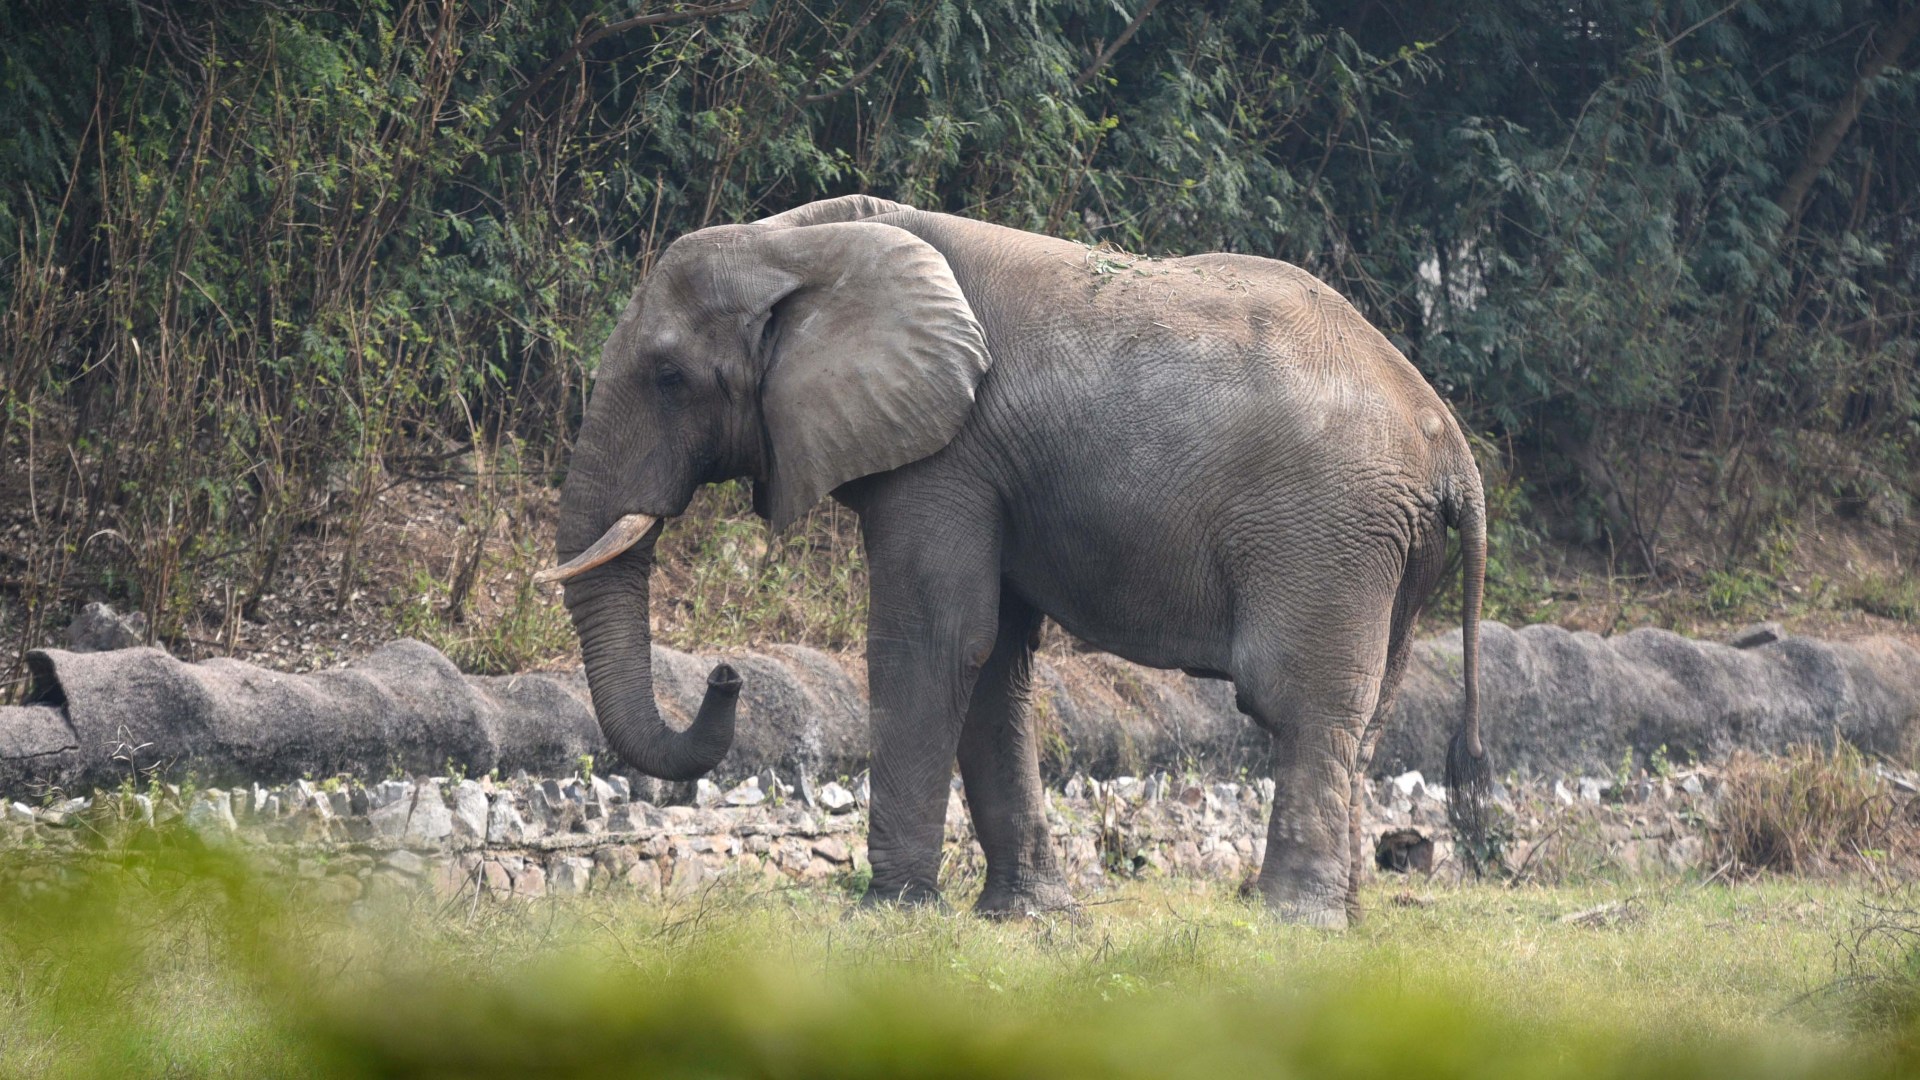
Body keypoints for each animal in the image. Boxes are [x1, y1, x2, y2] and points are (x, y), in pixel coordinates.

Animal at [537, 194, 1487, 927]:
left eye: (667, 377)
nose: (726, 675)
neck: (802, 237)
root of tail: (1451, 445)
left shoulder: (948, 456)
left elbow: (933, 641)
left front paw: (888, 914)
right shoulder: (988, 468)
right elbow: (994, 659)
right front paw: (1025, 918)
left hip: (1329, 532)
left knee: (1300, 705)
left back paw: (1290, 922)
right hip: (1387, 550)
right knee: (1366, 717)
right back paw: (1342, 918)